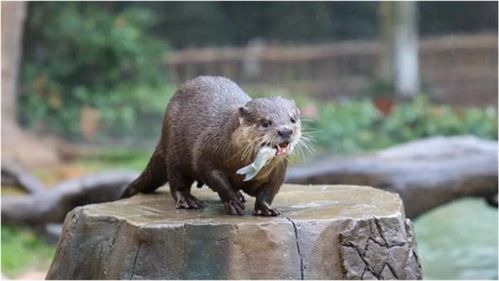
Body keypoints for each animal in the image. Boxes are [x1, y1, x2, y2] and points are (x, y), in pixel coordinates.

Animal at [121, 75, 302, 215]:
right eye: (265, 122)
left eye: (293, 119)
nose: (285, 130)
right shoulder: (206, 153)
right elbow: (215, 178)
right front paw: (232, 202)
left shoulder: (278, 172)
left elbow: (268, 191)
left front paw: (266, 209)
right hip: (174, 150)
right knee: (176, 181)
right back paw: (188, 201)